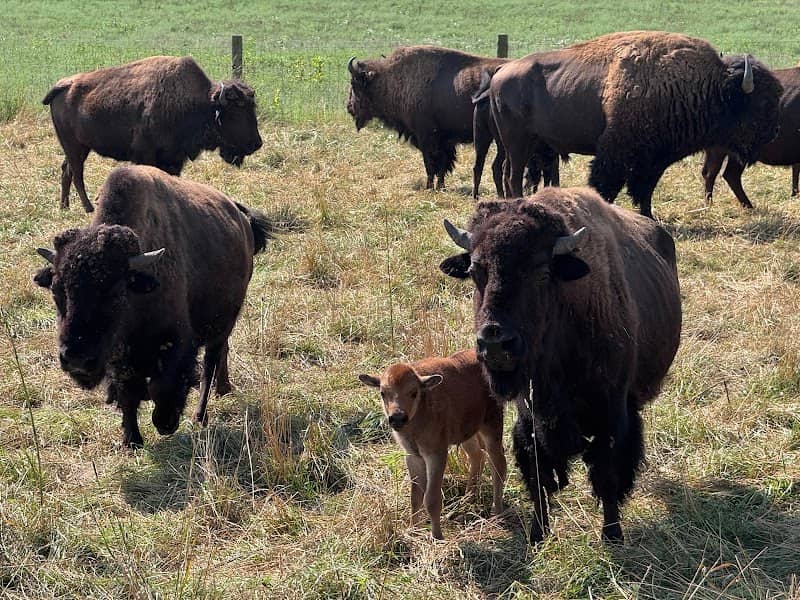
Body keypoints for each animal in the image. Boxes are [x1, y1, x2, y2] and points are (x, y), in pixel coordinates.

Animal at [33, 165, 271, 448]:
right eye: (56, 291)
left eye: (116, 293)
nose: (76, 358)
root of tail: (241, 217)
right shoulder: (120, 359)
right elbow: (128, 393)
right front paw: (132, 440)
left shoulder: (176, 343)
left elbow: (162, 385)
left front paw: (166, 423)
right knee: (221, 353)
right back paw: (222, 389)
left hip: (223, 322)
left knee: (210, 362)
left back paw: (200, 416)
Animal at [43, 56, 263, 212]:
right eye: (235, 112)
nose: (256, 143)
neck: (201, 103)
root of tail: (63, 85)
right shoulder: (146, 155)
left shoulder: (174, 158)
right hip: (73, 146)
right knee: (77, 173)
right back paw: (87, 208)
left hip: (80, 147)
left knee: (67, 170)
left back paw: (64, 206)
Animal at [440, 187, 682, 542]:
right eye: (474, 272)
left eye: (542, 272)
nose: (496, 343)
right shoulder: (530, 416)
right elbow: (538, 473)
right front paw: (537, 533)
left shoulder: (610, 414)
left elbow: (607, 474)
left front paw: (613, 535)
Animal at [488, 31, 783, 218]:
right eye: (762, 103)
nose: (773, 133)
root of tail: (501, 72)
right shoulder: (616, 153)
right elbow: (606, 185)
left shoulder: (654, 160)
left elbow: (645, 190)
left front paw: (649, 216)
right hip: (517, 142)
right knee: (512, 174)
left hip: (526, 143)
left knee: (508, 172)